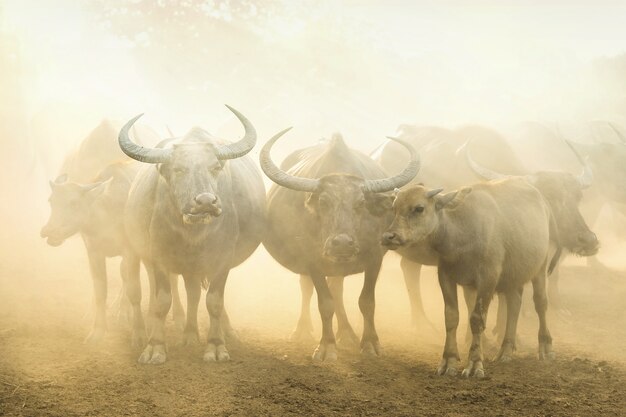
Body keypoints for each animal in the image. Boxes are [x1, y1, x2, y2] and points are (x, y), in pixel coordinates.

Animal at [119, 105, 264, 362]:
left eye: (215, 167)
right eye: (178, 169)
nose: (206, 202)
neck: (193, 233)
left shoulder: (223, 259)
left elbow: (214, 302)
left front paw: (215, 345)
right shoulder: (158, 257)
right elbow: (161, 301)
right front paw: (155, 347)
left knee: (195, 294)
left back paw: (194, 334)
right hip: (137, 252)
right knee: (138, 291)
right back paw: (145, 334)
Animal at [258, 131, 420, 360]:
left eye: (360, 203)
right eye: (323, 202)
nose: (342, 244)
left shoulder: (374, 259)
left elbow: (366, 302)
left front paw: (370, 343)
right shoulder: (313, 261)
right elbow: (325, 303)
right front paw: (327, 346)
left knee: (337, 289)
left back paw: (346, 333)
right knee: (308, 289)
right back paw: (302, 330)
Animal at [382, 179, 560, 376]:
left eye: (419, 208)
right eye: (395, 207)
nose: (388, 237)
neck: (460, 234)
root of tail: (544, 203)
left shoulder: (488, 278)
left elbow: (477, 319)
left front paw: (475, 363)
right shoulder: (446, 276)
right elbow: (451, 317)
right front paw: (449, 361)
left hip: (541, 267)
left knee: (541, 303)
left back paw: (546, 347)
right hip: (512, 276)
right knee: (514, 304)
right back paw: (506, 350)